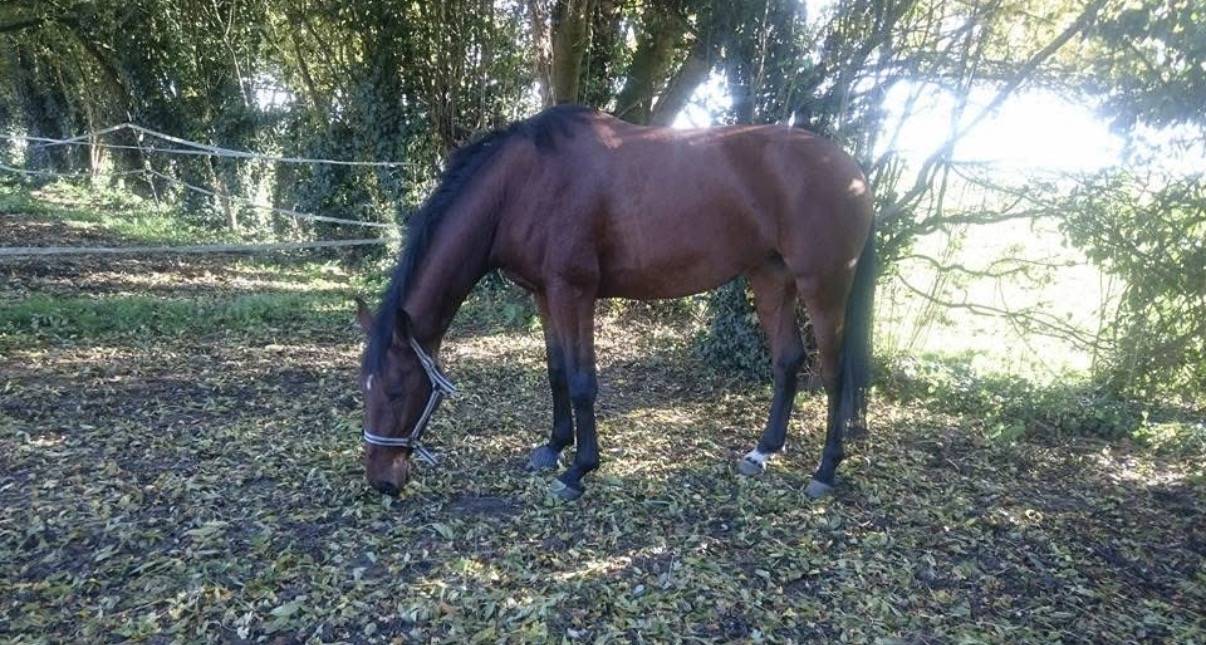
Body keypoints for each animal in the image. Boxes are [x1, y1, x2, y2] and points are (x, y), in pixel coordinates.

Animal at [355, 104, 875, 501]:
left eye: (396, 391)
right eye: (367, 388)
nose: (381, 480)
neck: (523, 186)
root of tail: (852, 171)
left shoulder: (574, 292)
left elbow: (583, 382)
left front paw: (578, 470)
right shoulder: (545, 294)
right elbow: (557, 372)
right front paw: (553, 447)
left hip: (822, 287)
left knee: (832, 374)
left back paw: (825, 471)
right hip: (770, 278)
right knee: (788, 360)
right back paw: (763, 451)